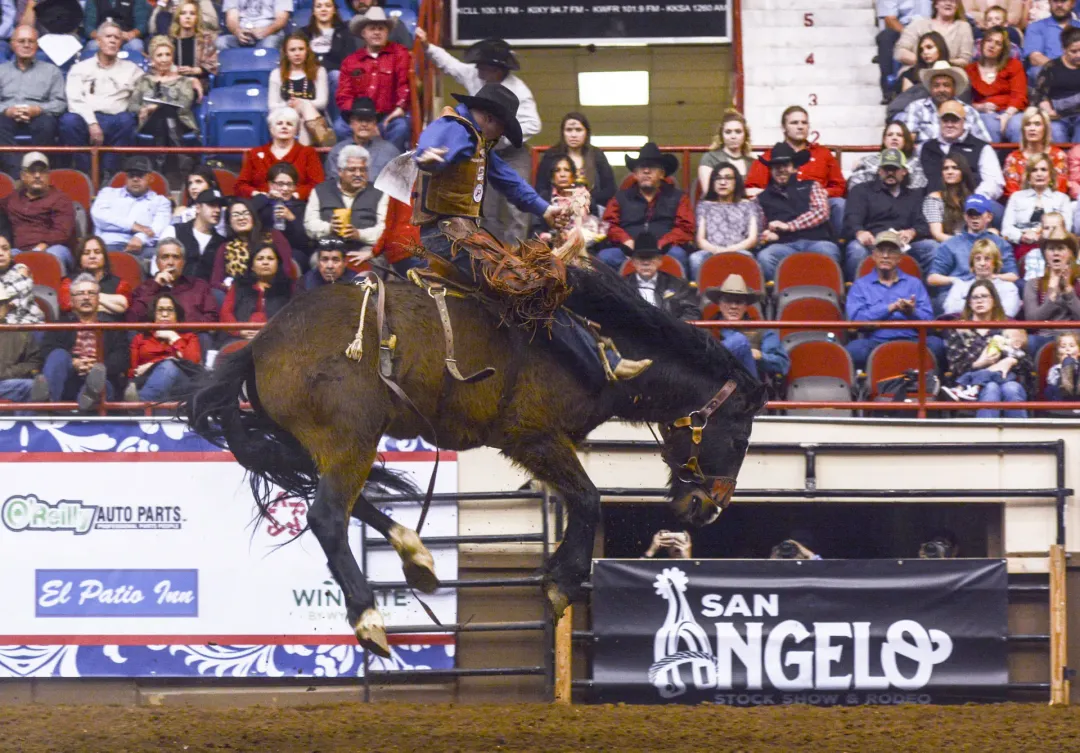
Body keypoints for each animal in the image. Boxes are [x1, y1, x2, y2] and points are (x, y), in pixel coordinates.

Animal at [181, 265, 766, 658]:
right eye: (740, 438)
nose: (707, 508)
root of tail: (258, 345)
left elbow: (581, 500)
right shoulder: (531, 436)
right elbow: (588, 499)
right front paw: (561, 582)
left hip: (320, 444)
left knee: (345, 501)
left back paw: (415, 555)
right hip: (350, 437)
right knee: (327, 515)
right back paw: (369, 618)